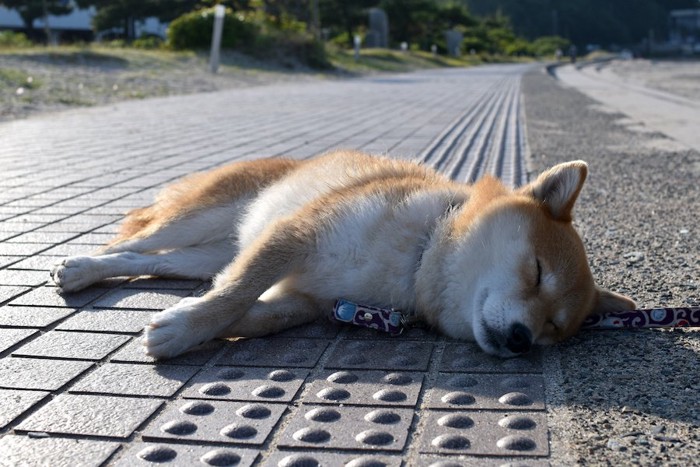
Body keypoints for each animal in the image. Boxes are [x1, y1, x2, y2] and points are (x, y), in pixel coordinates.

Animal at [52, 150, 636, 358]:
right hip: (202, 216)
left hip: (207, 252)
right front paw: (184, 328)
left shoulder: (312, 300)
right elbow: (236, 294)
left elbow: (251, 312)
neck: (417, 257)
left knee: (149, 262)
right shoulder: (296, 235)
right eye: (536, 273)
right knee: (131, 242)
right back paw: (80, 266)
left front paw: (185, 323)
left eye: (554, 329)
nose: (521, 341)